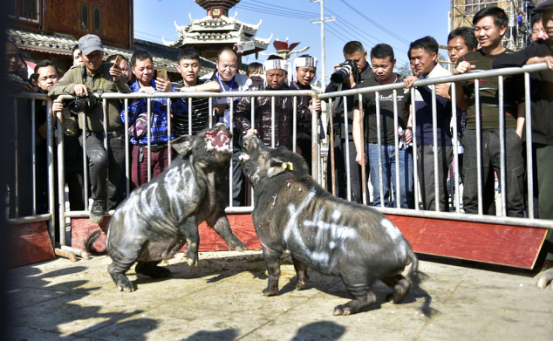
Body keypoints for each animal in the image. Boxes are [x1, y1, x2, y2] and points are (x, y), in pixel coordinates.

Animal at [89, 123, 246, 290]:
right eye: (205, 133)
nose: (221, 124)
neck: (211, 178)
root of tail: (109, 232)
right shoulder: (183, 212)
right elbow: (194, 235)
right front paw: (191, 262)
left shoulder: (216, 210)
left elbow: (225, 227)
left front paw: (242, 248)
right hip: (128, 249)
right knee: (113, 268)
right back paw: (128, 287)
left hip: (163, 248)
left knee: (140, 267)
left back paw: (165, 273)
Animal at [239, 134, 420, 314]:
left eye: (263, 153)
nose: (250, 135)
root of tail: (404, 248)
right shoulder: (296, 244)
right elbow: (299, 263)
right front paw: (299, 286)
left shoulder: (269, 240)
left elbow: (273, 269)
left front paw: (266, 293)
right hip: (384, 270)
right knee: (403, 282)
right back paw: (390, 299)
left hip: (354, 272)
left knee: (369, 297)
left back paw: (340, 309)